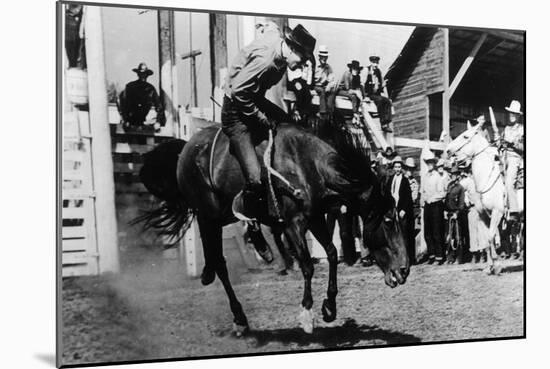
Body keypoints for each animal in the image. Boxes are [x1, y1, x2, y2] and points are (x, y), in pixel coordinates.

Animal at [138, 123, 410, 334]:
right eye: (388, 220)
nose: (404, 270)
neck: (307, 165)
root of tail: (186, 149)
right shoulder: (292, 224)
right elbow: (307, 265)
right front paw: (307, 314)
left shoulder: (315, 219)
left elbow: (332, 254)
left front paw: (329, 308)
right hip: (209, 215)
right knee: (220, 262)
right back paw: (239, 316)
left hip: (222, 215)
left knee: (219, 253)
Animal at [446, 123, 506, 274]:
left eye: (465, 136)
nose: (447, 150)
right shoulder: (484, 215)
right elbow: (487, 239)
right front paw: (489, 267)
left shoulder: (498, 212)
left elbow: (490, 237)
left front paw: (497, 265)